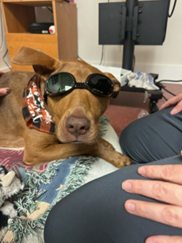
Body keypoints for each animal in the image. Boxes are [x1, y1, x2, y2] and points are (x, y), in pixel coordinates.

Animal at [0, 46, 132, 167]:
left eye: (99, 88)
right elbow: (85, 146)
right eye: (60, 86)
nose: (77, 126)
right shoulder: (35, 151)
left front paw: (103, 141)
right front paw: (115, 156)